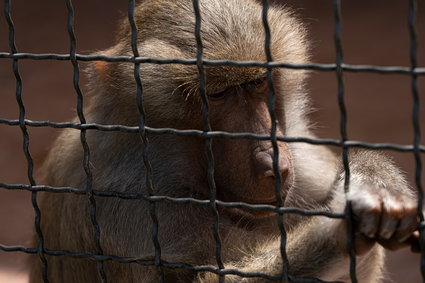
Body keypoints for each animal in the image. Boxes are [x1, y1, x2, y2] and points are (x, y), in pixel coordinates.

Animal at [29, 0, 418, 282]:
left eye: (256, 83)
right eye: (217, 95)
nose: (272, 163)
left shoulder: (304, 166)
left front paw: (375, 181)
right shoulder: (125, 198)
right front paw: (336, 228)